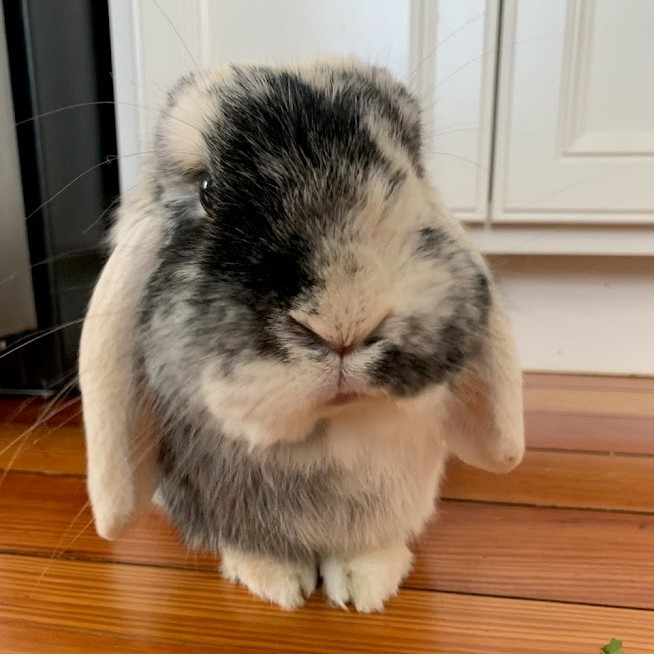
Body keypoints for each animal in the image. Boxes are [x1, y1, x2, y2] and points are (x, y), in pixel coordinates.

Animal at [79, 57, 524, 613]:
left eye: (413, 172)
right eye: (206, 191)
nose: (344, 322)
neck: (325, 436)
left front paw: (366, 585)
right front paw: (277, 581)